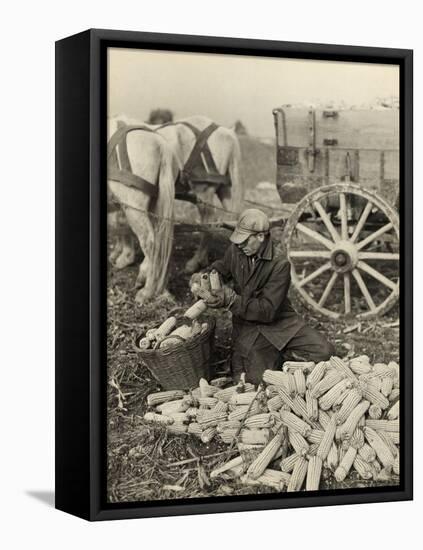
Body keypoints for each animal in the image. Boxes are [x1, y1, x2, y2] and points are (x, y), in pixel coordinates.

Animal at [107, 115, 243, 306]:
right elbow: (118, 224)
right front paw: (119, 254)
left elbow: (120, 225)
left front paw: (125, 258)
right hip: (225, 190)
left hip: (202, 192)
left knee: (200, 228)